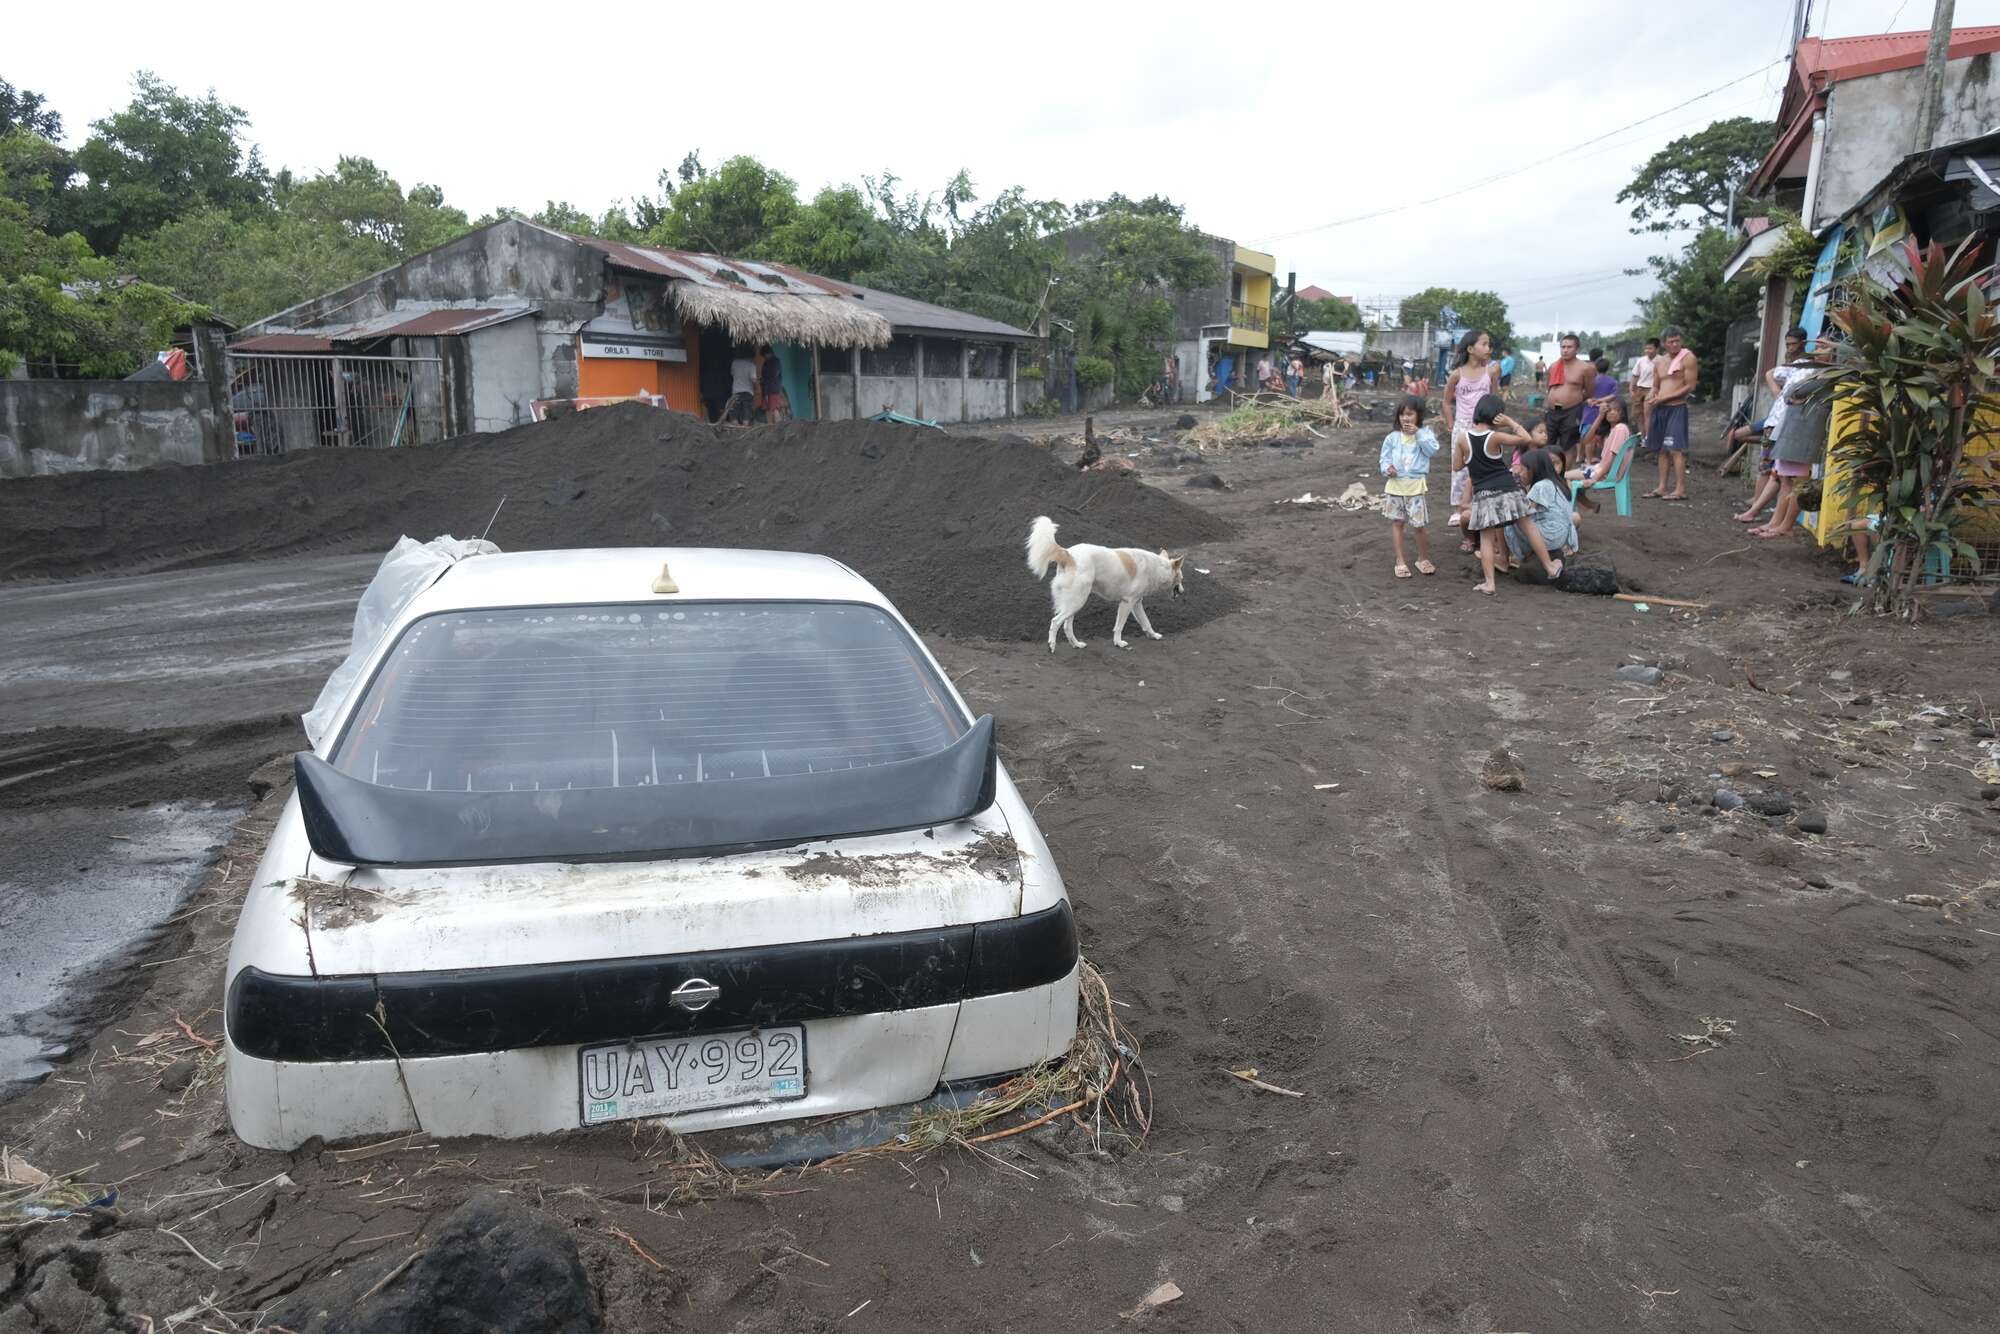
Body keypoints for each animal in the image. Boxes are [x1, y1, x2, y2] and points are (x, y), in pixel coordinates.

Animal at [1024, 516, 1176, 652]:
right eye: (1179, 576)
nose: (1180, 591)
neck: (1154, 566)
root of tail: (1067, 553)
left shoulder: (1136, 603)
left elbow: (1146, 621)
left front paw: (1153, 635)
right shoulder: (1127, 603)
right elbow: (1119, 626)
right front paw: (1118, 642)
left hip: (1072, 603)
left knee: (1067, 626)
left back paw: (1076, 644)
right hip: (1077, 601)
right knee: (1055, 622)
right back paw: (1052, 645)